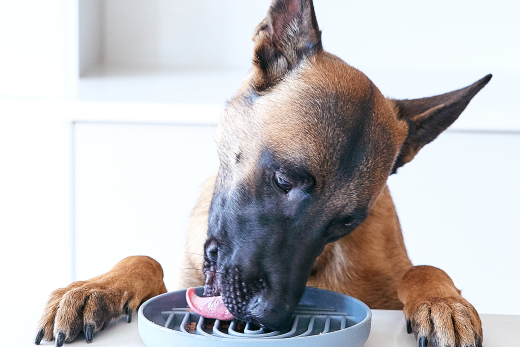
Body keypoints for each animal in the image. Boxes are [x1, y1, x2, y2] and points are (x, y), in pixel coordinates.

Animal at [34, 1, 490, 346]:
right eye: (284, 180)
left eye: (346, 222)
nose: (270, 318)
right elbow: (144, 258)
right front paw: (98, 287)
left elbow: (423, 268)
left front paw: (443, 303)